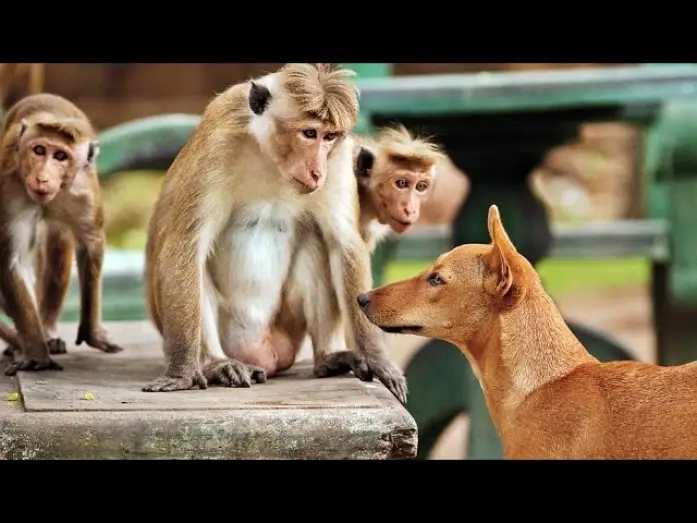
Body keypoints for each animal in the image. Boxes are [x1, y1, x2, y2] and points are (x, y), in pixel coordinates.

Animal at [0, 93, 124, 375]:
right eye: (39, 150)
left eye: (60, 156)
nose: (42, 178)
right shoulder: (8, 189)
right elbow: (12, 261)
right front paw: (36, 352)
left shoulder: (83, 191)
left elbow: (90, 244)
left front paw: (92, 332)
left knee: (58, 242)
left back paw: (48, 330)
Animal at [142, 63, 406, 404]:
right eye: (309, 133)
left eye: (329, 136)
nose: (317, 171)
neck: (271, 159)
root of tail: (261, 351)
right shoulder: (218, 142)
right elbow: (186, 244)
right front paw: (181, 372)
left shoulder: (338, 159)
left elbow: (344, 243)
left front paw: (376, 358)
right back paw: (218, 364)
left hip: (287, 328)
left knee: (316, 240)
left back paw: (328, 359)